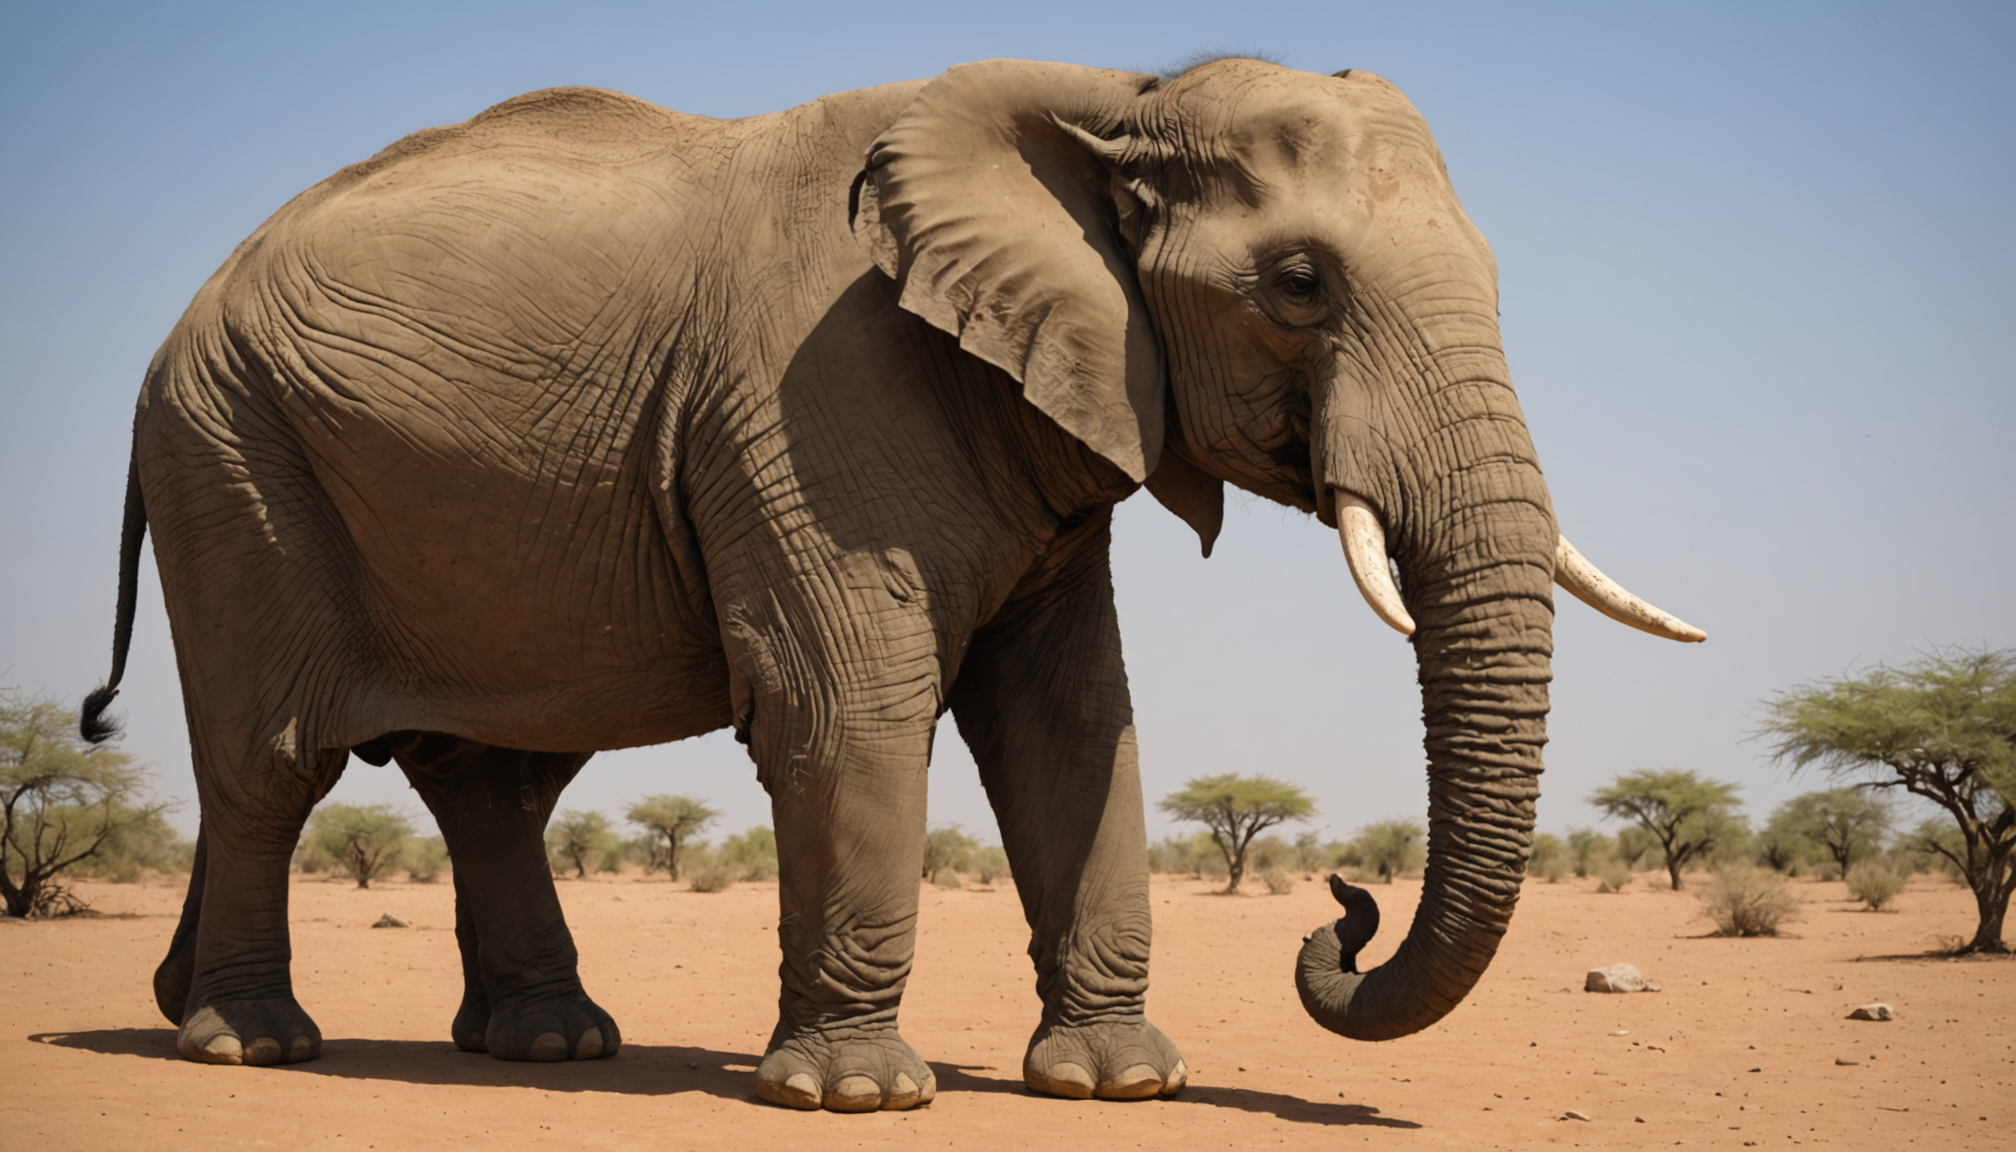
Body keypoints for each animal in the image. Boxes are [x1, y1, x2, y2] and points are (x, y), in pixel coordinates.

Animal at [81, 56, 1703, 1112]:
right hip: (230, 463)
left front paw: (1121, 1084)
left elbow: (1070, 722)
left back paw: (546, 1050)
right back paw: (250, 1047)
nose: (1341, 909)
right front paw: (860, 1098)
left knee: (493, 779)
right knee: (268, 764)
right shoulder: (817, 394)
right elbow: (849, 706)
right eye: (1300, 285)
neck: (1119, 93)